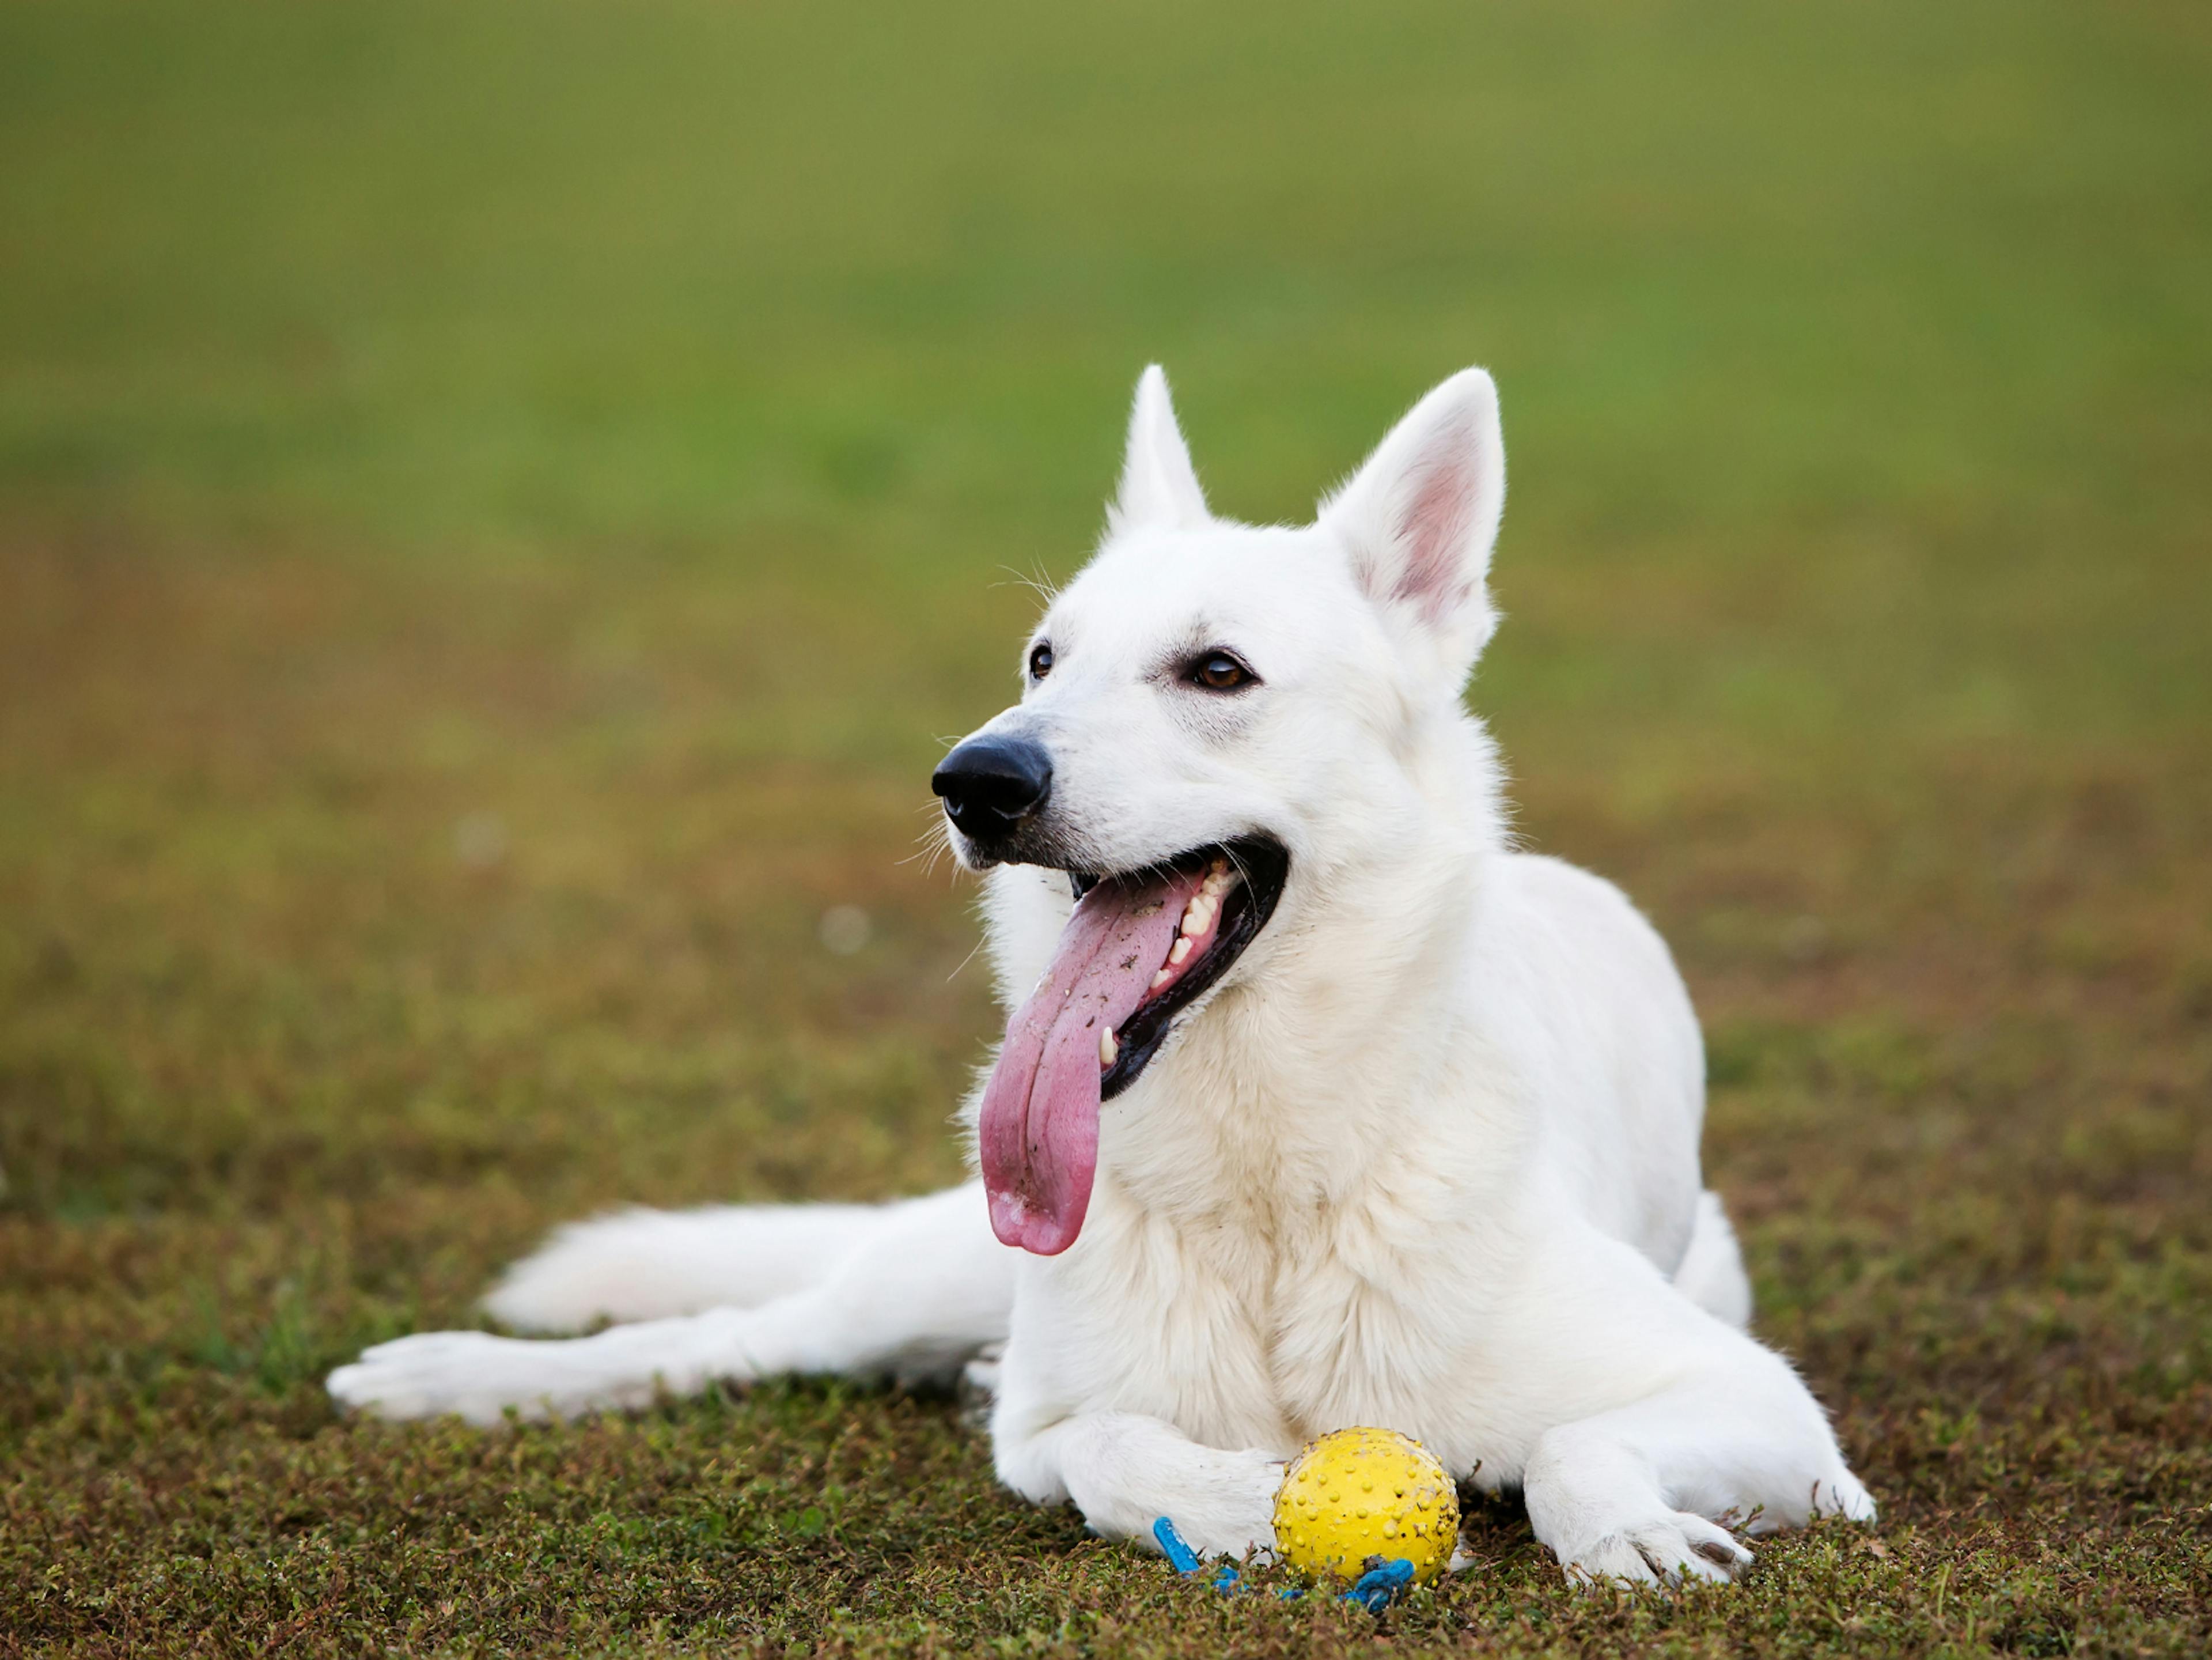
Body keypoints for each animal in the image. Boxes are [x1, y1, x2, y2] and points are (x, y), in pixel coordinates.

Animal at [327, 369, 1876, 1593]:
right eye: (1041, 659)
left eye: (1216, 670)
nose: (973, 780)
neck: (1270, 1197)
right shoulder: (1049, 1427)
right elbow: (1108, 1448)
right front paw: (1237, 1496)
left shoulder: (1770, 1411)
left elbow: (1573, 1440)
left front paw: (1624, 1527)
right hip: (911, 1279)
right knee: (732, 1334)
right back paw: (462, 1374)